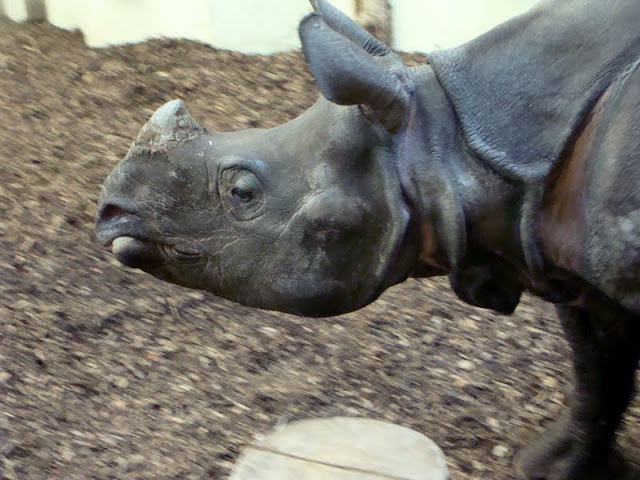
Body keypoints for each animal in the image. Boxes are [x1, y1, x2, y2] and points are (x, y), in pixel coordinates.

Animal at [95, 0, 640, 478]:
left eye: (242, 193)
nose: (110, 214)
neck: (450, 147)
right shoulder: (563, 263)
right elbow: (597, 371)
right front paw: (553, 468)